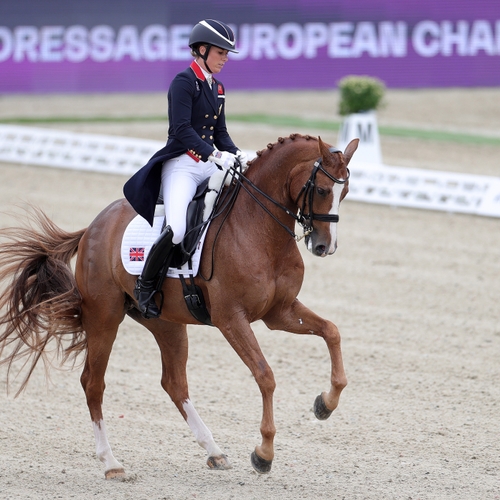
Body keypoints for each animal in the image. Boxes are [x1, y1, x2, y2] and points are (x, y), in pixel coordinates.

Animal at [0, 135, 360, 478]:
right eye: (322, 189)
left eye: (345, 193)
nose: (325, 246)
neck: (258, 227)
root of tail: (93, 227)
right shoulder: (231, 319)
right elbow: (265, 375)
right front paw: (264, 454)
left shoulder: (279, 312)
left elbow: (332, 332)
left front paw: (325, 404)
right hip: (104, 317)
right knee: (93, 383)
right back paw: (112, 464)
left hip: (165, 322)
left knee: (174, 383)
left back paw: (214, 451)